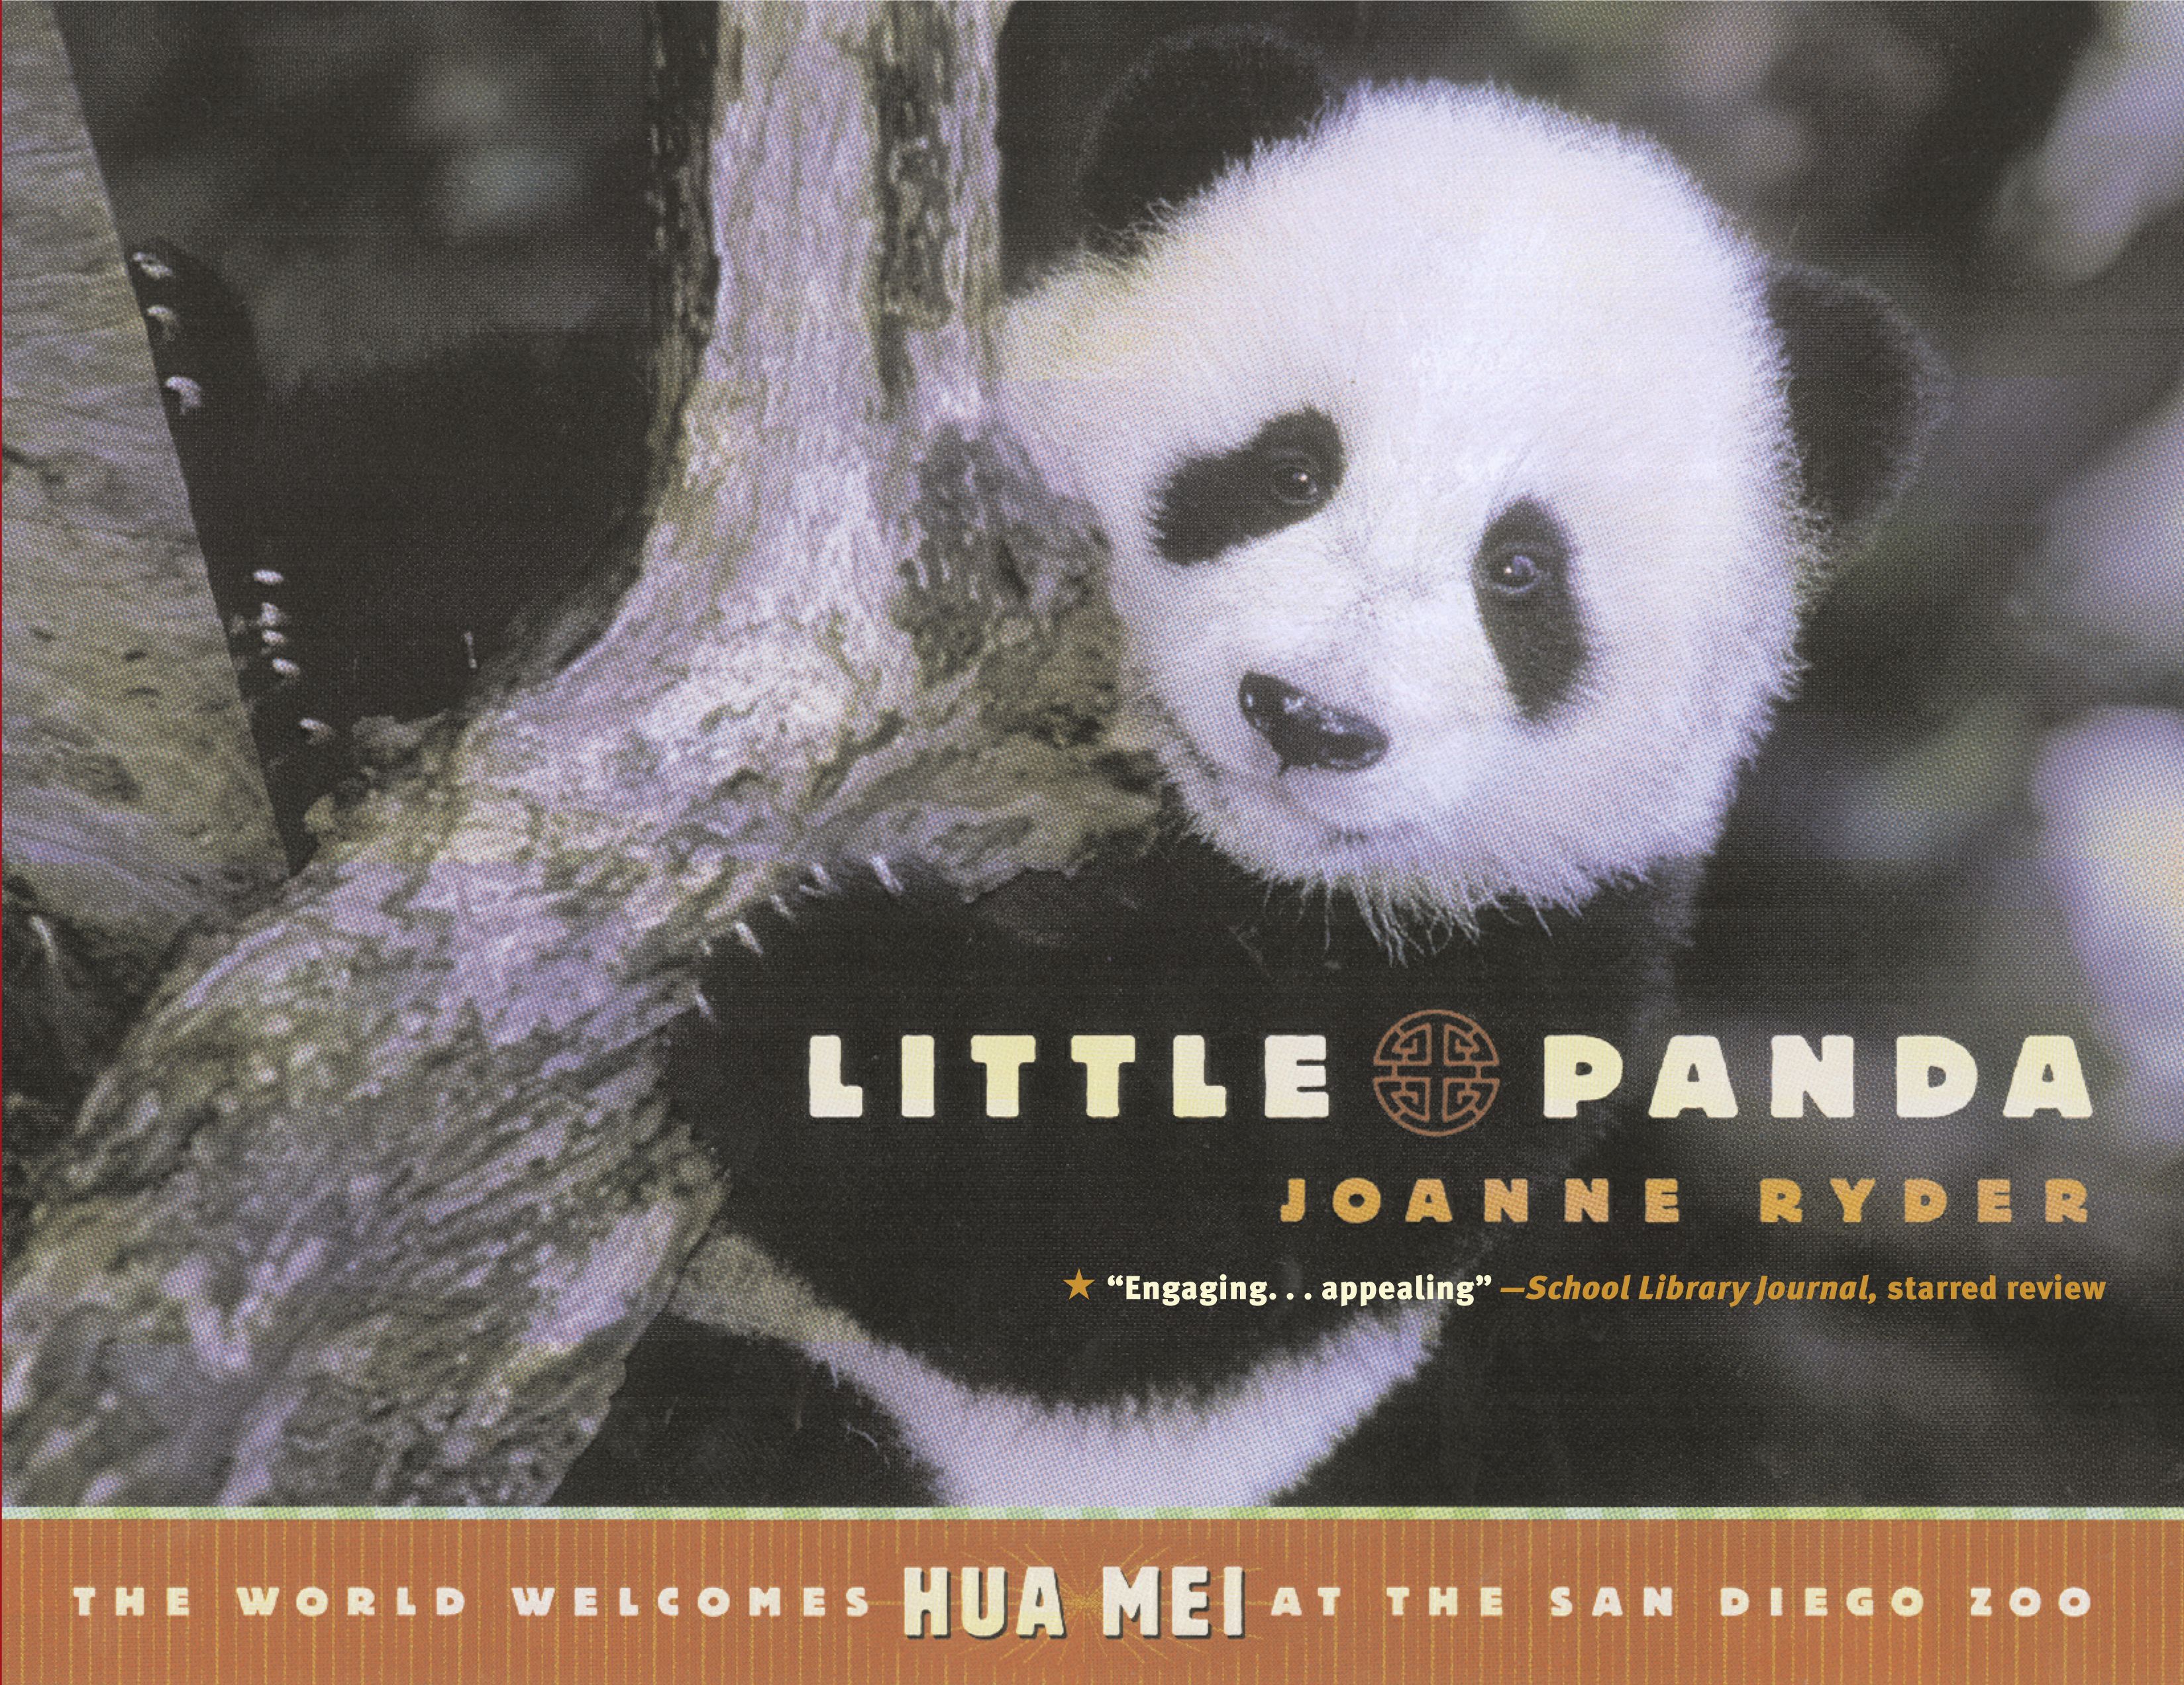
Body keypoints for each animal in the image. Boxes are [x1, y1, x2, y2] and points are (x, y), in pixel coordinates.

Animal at [554, 27, 1938, 1508]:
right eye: (1288, 470)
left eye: (1518, 572)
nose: (1307, 720)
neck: (1201, 842)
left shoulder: (1531, 953)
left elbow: (1146, 1234)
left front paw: (834, 1002)